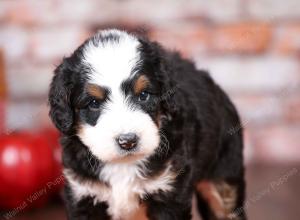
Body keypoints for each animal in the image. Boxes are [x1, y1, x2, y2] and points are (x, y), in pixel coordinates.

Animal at [48, 29, 246, 220]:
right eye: (94, 103)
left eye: (143, 95)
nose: (128, 141)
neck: (123, 165)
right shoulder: (83, 193)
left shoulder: (169, 193)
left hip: (225, 178)